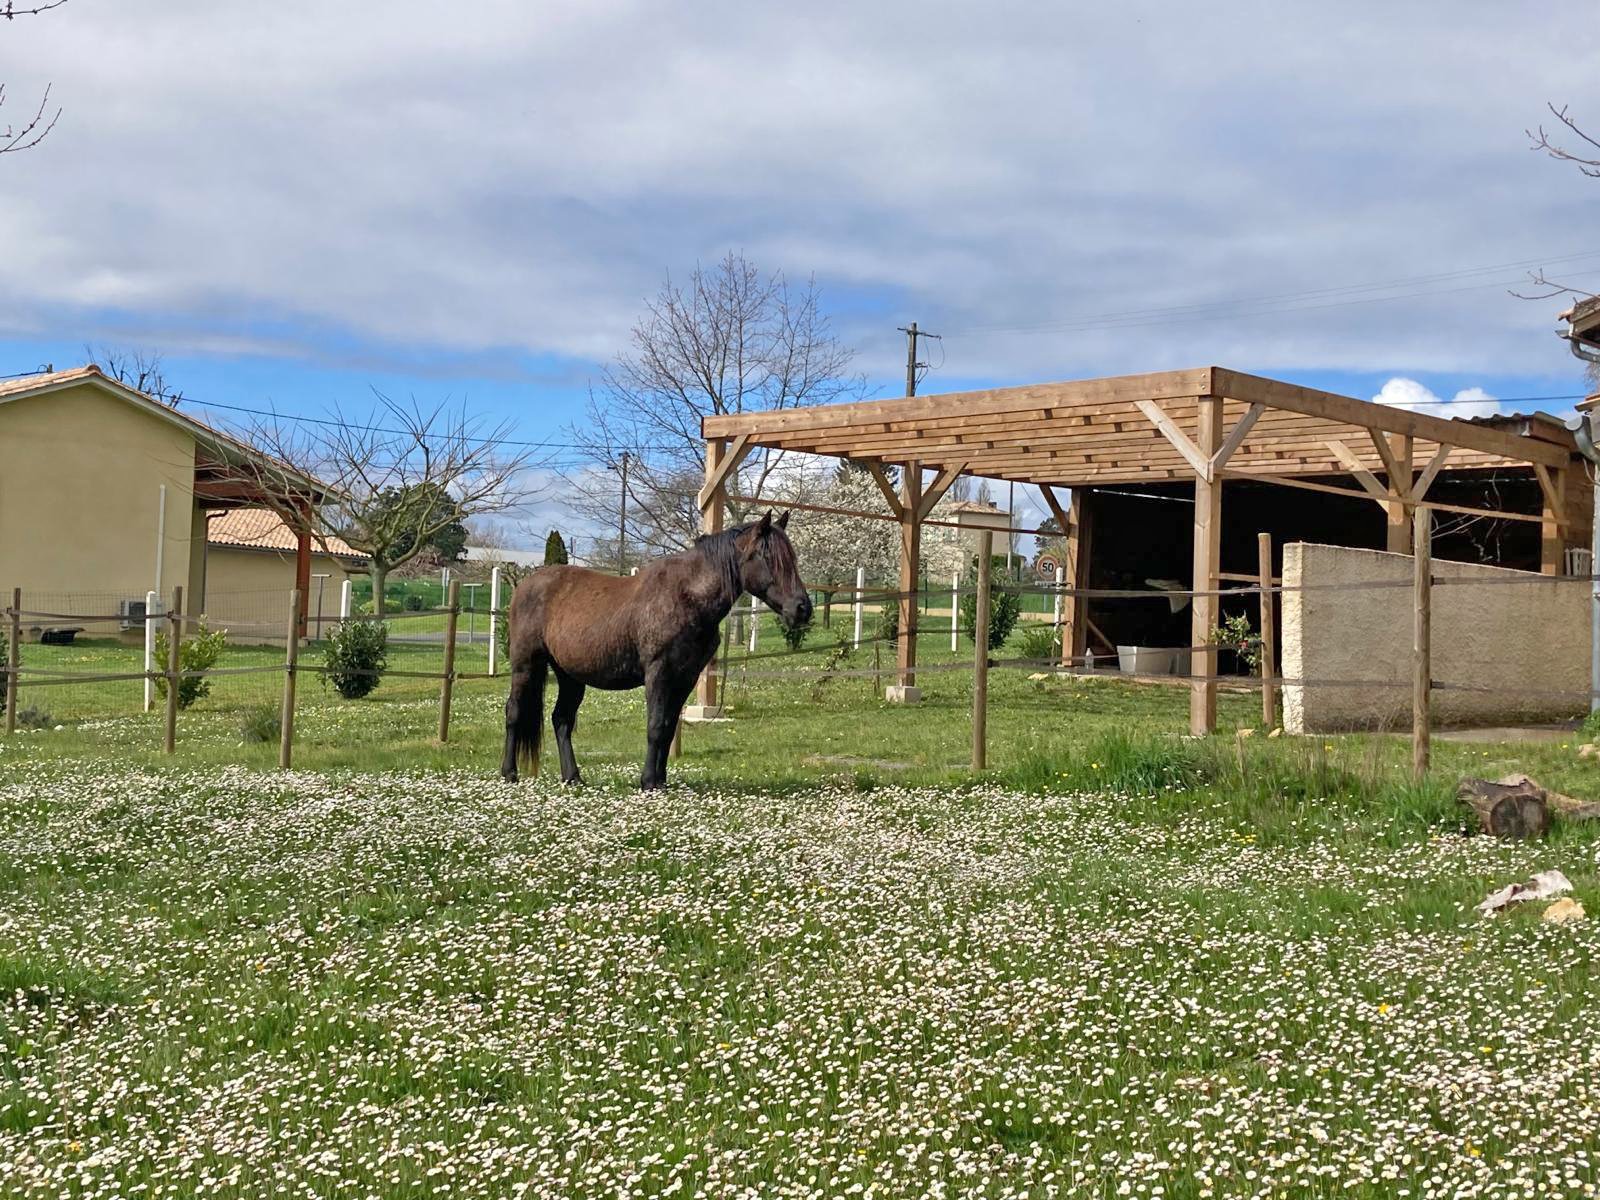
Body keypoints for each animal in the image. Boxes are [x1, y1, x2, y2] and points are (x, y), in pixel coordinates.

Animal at [500, 510, 812, 790]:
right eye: (768, 557)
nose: (802, 608)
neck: (686, 597)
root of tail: (523, 586)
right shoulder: (659, 673)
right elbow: (656, 725)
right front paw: (649, 781)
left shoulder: (685, 678)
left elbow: (669, 726)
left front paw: (660, 781)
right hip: (526, 666)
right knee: (514, 712)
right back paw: (509, 774)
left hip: (570, 676)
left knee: (562, 720)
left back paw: (573, 778)